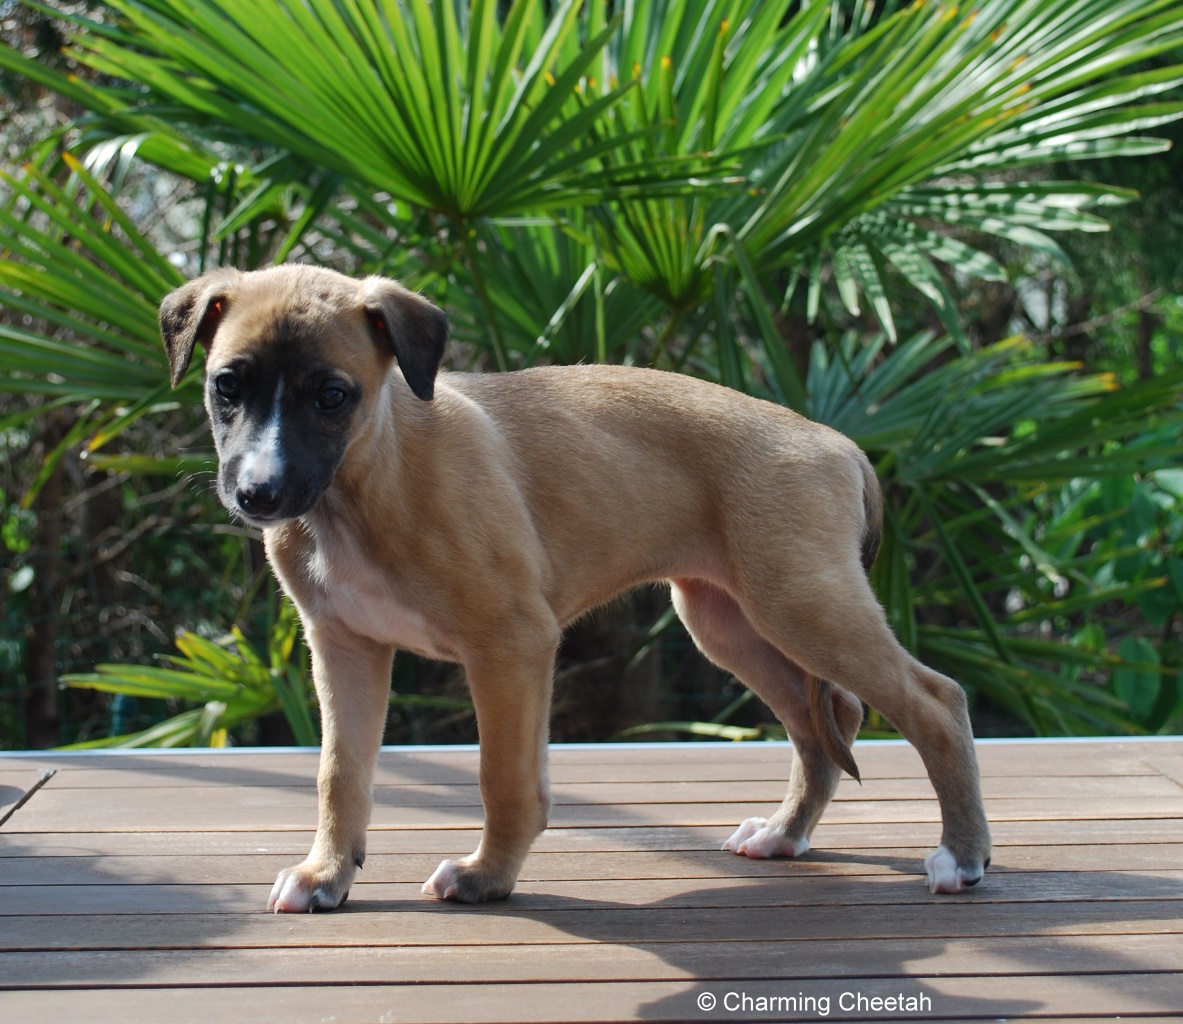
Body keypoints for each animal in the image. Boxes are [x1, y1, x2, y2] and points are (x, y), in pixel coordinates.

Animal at [157, 264, 988, 908]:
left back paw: (961, 856)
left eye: (331, 395)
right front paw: (326, 875)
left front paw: (486, 877)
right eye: (227, 386)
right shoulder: (344, 648)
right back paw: (785, 834)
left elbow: (503, 777)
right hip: (727, 619)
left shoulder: (511, 645)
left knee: (932, 701)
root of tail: (836, 440)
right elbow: (341, 773)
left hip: (797, 602)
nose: (258, 494)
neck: (363, 484)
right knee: (821, 723)